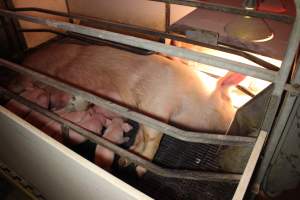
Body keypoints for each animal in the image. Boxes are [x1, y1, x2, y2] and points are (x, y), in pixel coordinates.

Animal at [22, 43, 245, 168]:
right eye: (229, 101)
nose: (231, 122)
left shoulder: (143, 109)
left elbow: (142, 136)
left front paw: (126, 160)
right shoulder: (156, 105)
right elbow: (154, 138)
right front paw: (140, 170)